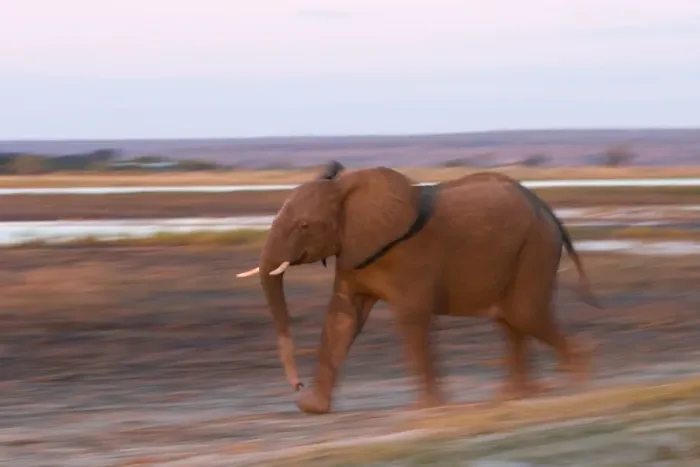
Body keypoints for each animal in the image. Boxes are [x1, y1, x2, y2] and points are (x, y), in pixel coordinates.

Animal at [236, 160, 600, 415]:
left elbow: (410, 318)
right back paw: (516, 395)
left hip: (536, 246)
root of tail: (549, 210)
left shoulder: (410, 256)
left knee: (524, 315)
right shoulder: (354, 253)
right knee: (510, 320)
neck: (347, 188)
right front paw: (312, 408)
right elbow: (342, 318)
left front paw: (427, 408)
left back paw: (580, 383)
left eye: (304, 226)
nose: (296, 386)